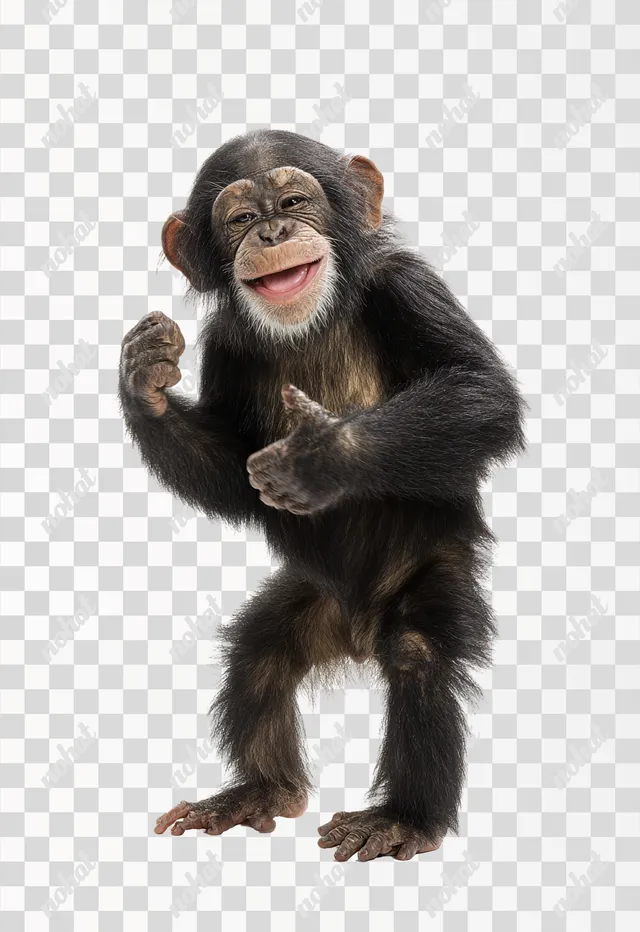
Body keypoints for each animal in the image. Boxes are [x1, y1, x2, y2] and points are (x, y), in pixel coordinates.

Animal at [119, 130, 526, 861]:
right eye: (240, 218)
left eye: (293, 202)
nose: (274, 231)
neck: (312, 321)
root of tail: (357, 636)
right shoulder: (222, 347)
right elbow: (233, 473)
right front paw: (144, 379)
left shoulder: (408, 285)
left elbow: (480, 390)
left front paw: (318, 455)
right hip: (310, 600)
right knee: (256, 659)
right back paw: (258, 792)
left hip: (426, 582)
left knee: (419, 656)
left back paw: (403, 819)